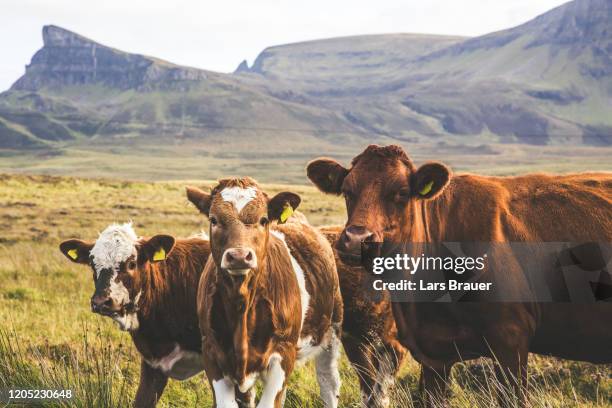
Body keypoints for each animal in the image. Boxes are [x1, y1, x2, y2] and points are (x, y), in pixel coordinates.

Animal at [185, 179, 344, 408]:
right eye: (213, 220)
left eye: (263, 219)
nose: (239, 256)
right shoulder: (212, 352)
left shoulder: (283, 351)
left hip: (331, 331)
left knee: (328, 383)